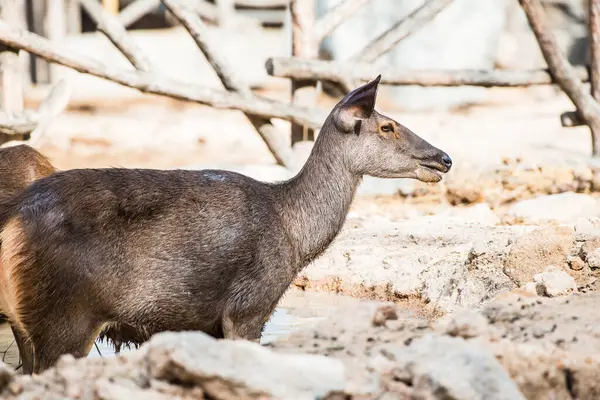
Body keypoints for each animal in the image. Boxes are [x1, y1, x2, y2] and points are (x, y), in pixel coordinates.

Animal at [0, 76, 452, 374]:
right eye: (387, 126)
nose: (444, 158)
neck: (296, 238)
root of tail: (12, 220)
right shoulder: (249, 307)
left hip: (26, 324)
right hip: (64, 318)